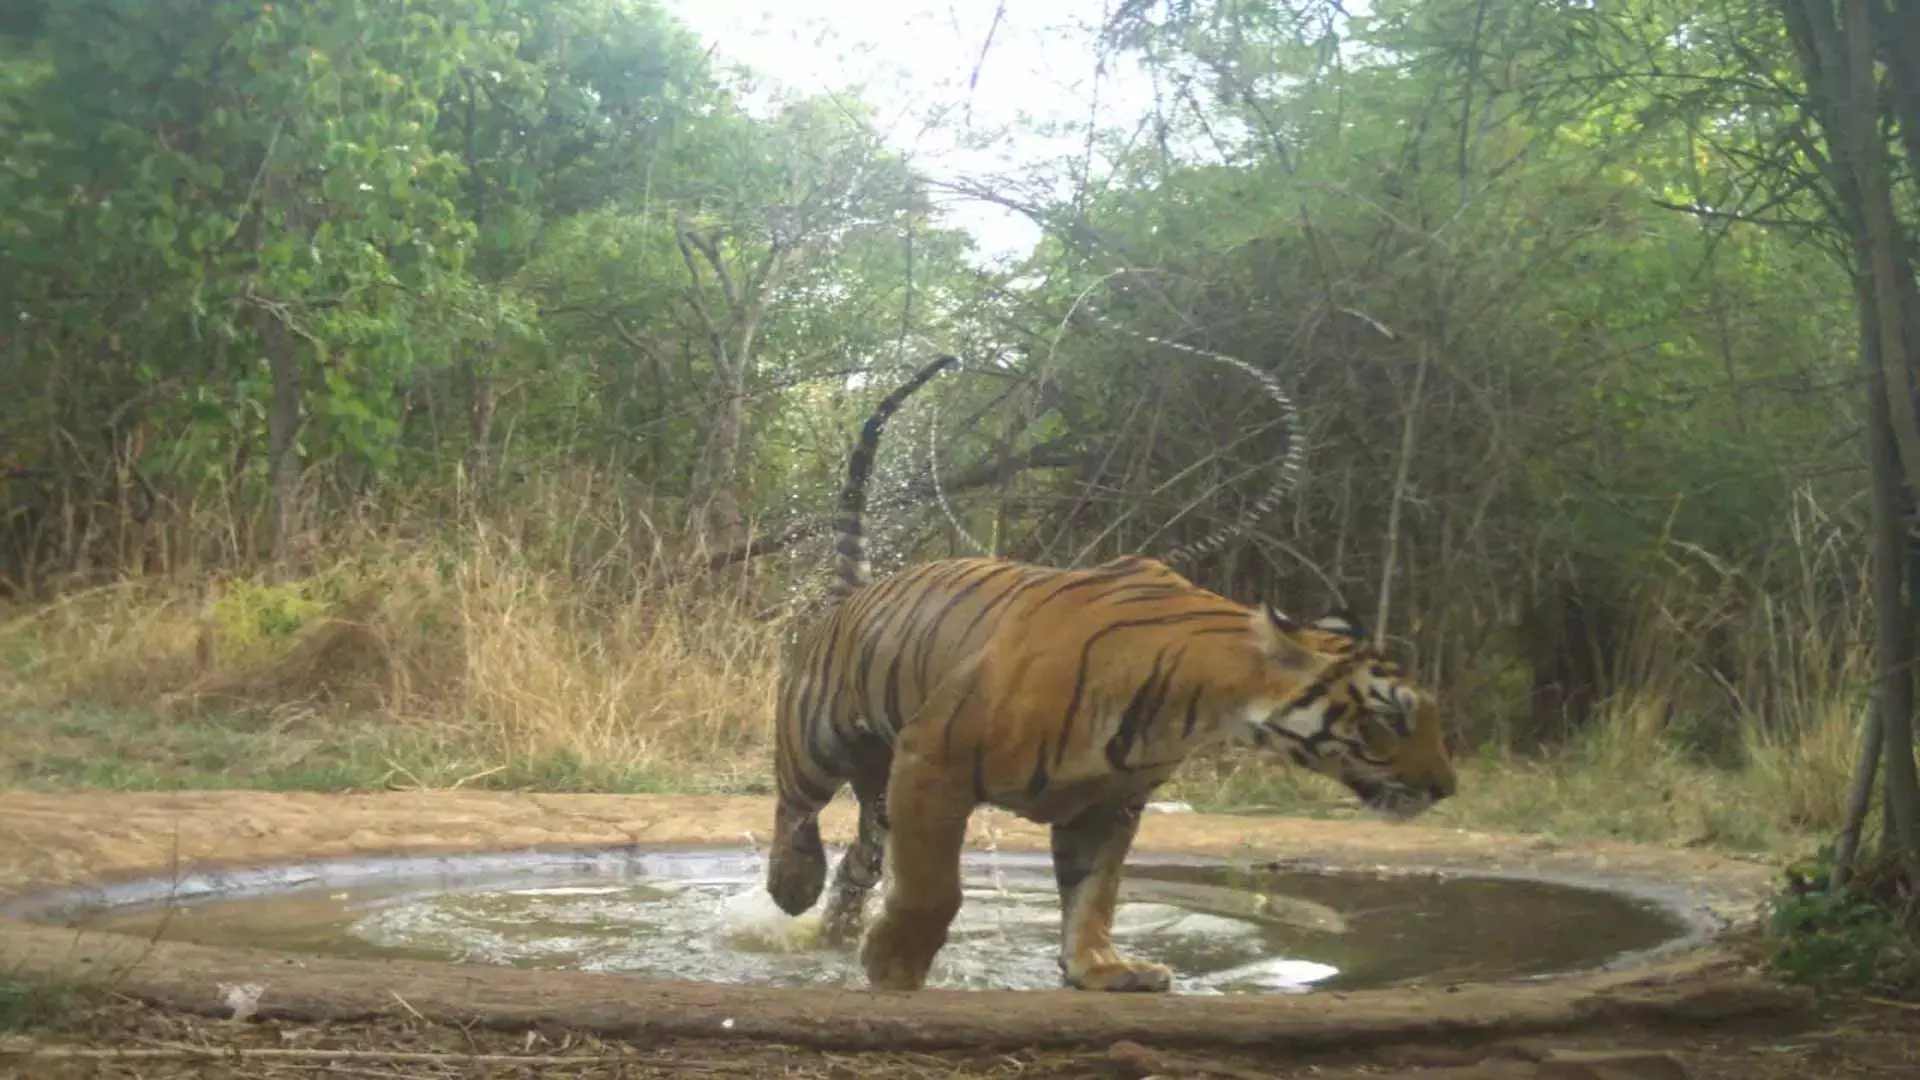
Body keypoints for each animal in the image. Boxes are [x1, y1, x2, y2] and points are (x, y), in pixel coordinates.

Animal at [764, 349, 1451, 991]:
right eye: (1391, 716)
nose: (1447, 788)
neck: (1198, 707)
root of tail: (853, 594)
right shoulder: (935, 760)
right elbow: (935, 888)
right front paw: (894, 967)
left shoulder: (1108, 803)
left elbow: (1095, 893)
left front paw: (1101, 968)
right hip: (820, 742)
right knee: (794, 808)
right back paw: (792, 885)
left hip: (882, 790)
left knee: (860, 863)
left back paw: (833, 932)